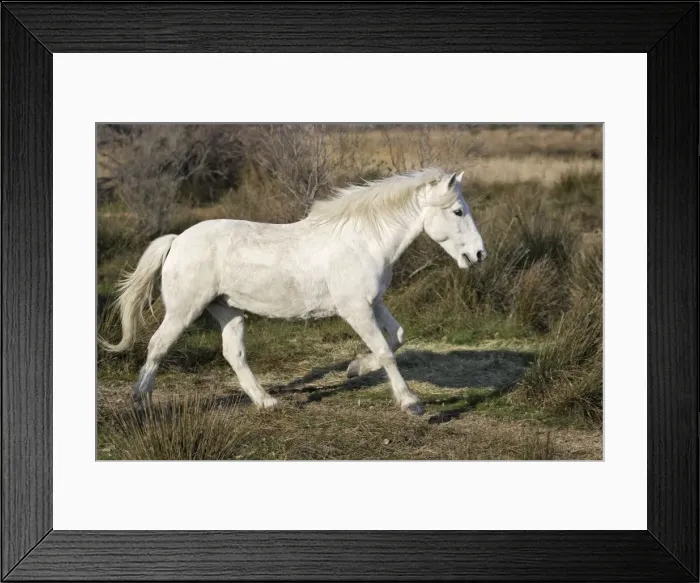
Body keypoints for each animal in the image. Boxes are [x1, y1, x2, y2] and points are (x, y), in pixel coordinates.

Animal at [99, 167, 487, 416]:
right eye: (458, 211)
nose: (479, 255)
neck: (364, 241)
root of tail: (177, 240)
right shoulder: (355, 309)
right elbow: (386, 351)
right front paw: (411, 402)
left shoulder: (373, 303)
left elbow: (397, 338)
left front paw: (355, 368)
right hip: (185, 310)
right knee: (157, 346)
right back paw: (140, 400)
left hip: (228, 309)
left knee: (234, 355)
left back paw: (267, 402)